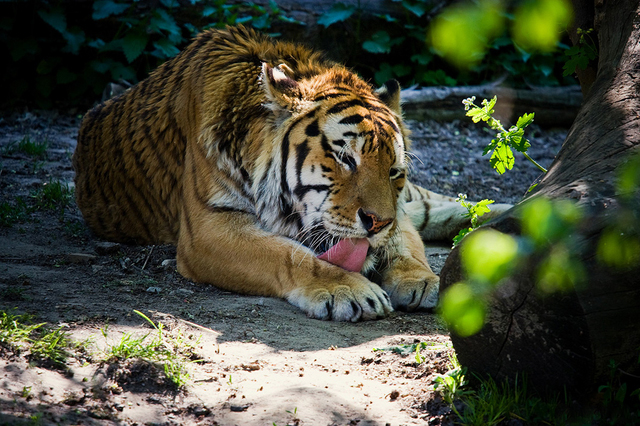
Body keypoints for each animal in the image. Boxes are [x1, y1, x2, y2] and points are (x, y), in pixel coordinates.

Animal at [72, 25, 508, 322]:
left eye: (394, 171)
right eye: (345, 159)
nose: (377, 220)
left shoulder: (396, 210)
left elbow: (405, 242)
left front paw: (424, 280)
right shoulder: (208, 230)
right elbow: (289, 255)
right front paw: (349, 291)